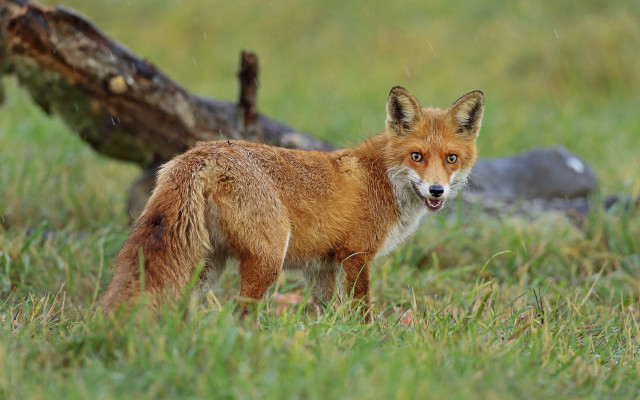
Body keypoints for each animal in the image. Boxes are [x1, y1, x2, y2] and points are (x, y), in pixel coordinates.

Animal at [101, 86, 484, 319]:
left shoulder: (322, 267)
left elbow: (327, 312)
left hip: (208, 265)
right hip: (268, 258)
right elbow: (360, 309)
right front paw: (369, 339)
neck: (382, 178)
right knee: (241, 315)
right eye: (417, 156)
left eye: (451, 159)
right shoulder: (356, 255)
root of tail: (203, 153)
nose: (437, 190)